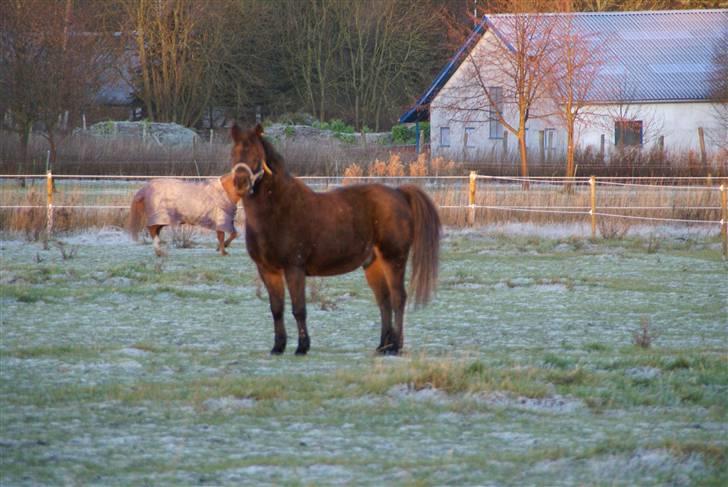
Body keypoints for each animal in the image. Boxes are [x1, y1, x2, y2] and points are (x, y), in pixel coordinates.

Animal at [230, 124, 440, 356]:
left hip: (394, 259)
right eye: (233, 153)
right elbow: (277, 309)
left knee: (398, 298)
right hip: (373, 264)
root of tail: (399, 193)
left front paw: (302, 347)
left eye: (256, 155)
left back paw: (396, 346)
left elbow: (299, 309)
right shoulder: (268, 270)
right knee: (384, 301)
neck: (278, 209)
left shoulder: (294, 268)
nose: (240, 183)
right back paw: (383, 346)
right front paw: (278, 347)